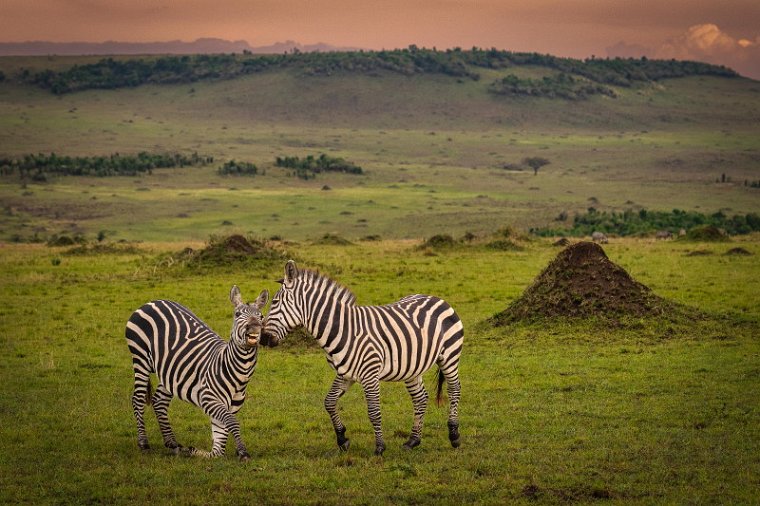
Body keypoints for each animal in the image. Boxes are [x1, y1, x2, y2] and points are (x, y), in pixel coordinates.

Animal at [129, 284, 272, 458]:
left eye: (261, 316)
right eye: (237, 314)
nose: (254, 328)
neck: (239, 373)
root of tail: (152, 302)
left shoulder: (232, 406)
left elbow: (220, 439)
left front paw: (197, 451)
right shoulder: (208, 398)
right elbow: (232, 422)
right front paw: (242, 451)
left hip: (169, 372)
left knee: (159, 401)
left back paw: (172, 443)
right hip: (140, 358)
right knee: (138, 399)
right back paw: (143, 442)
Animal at [262, 260, 464, 454]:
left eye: (275, 302)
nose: (263, 338)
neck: (344, 329)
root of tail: (437, 298)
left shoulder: (370, 375)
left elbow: (374, 411)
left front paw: (380, 447)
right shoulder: (344, 373)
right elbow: (329, 402)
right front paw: (342, 438)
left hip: (450, 356)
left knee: (454, 389)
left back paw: (454, 435)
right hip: (413, 366)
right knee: (420, 398)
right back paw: (413, 441)